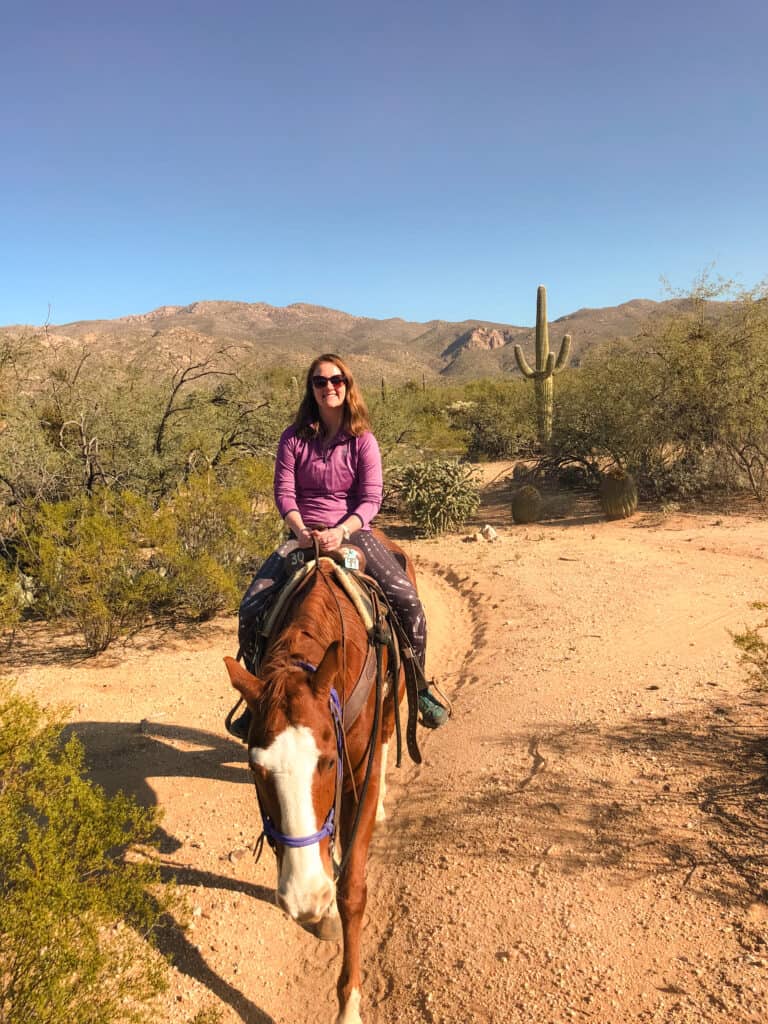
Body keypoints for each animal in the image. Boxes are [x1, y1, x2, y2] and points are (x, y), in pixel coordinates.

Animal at [224, 544, 415, 1024]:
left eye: (329, 762)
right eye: (255, 769)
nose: (303, 896)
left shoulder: (359, 773)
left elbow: (352, 890)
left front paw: (349, 1006)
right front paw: (317, 906)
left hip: (395, 698)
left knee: (390, 731)